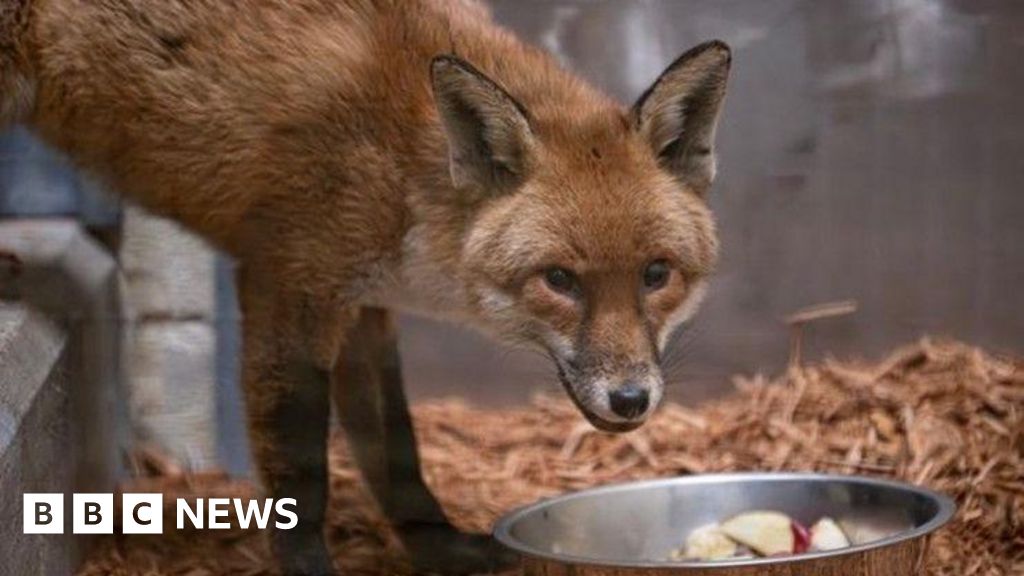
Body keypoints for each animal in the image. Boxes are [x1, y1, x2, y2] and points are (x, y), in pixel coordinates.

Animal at [0, 0, 730, 574]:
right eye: (559, 280)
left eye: (656, 274)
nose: (632, 400)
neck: (402, 156)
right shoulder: (288, 286)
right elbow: (302, 476)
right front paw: (310, 570)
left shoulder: (365, 306)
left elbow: (395, 450)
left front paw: (441, 551)